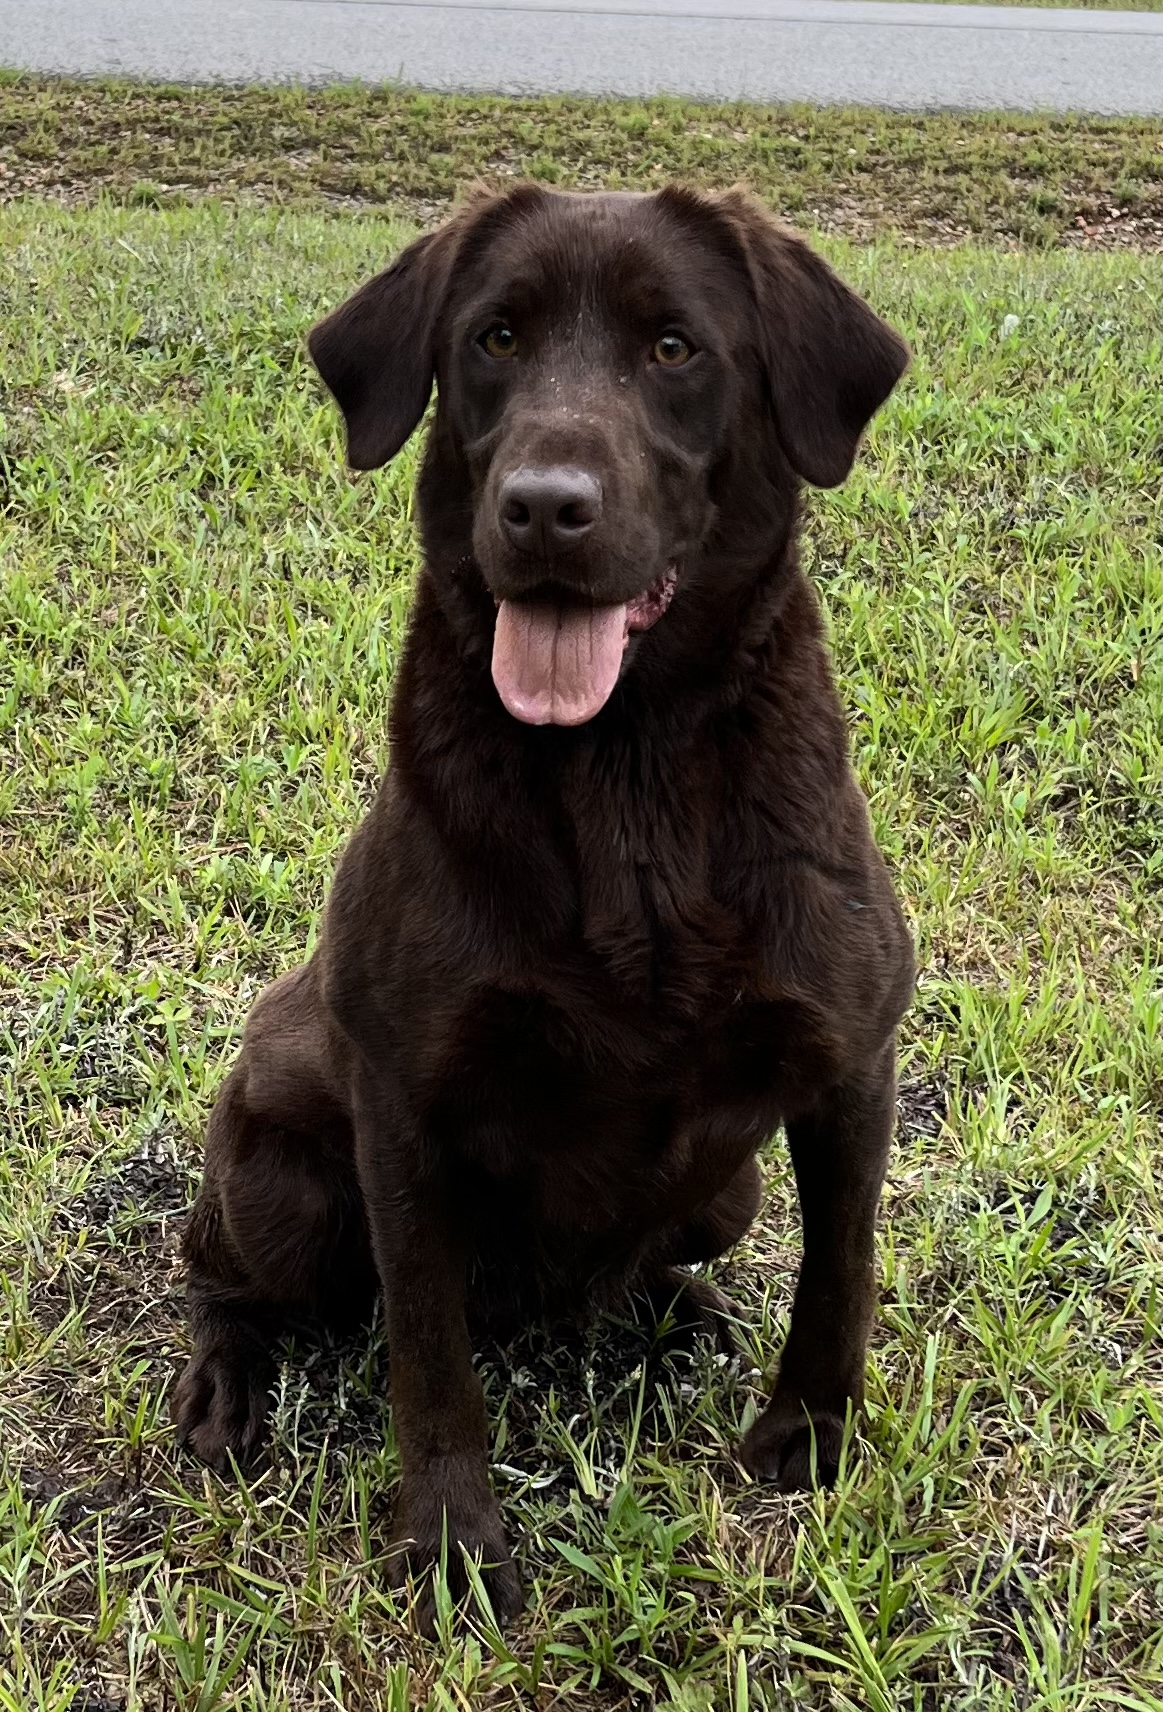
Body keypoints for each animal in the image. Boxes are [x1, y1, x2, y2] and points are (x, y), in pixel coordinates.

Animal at [175, 187, 918, 1629]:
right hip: (281, 1182)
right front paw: (451, 1537)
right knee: (224, 1275)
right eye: (495, 337)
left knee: (657, 1256)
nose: (541, 507)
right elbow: (427, 1354)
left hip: (726, 1188)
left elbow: (838, 1278)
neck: (622, 766)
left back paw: (672, 1309)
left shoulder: (849, 1061)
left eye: (674, 349)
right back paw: (226, 1379)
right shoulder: (403, 1111)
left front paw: (803, 1444)